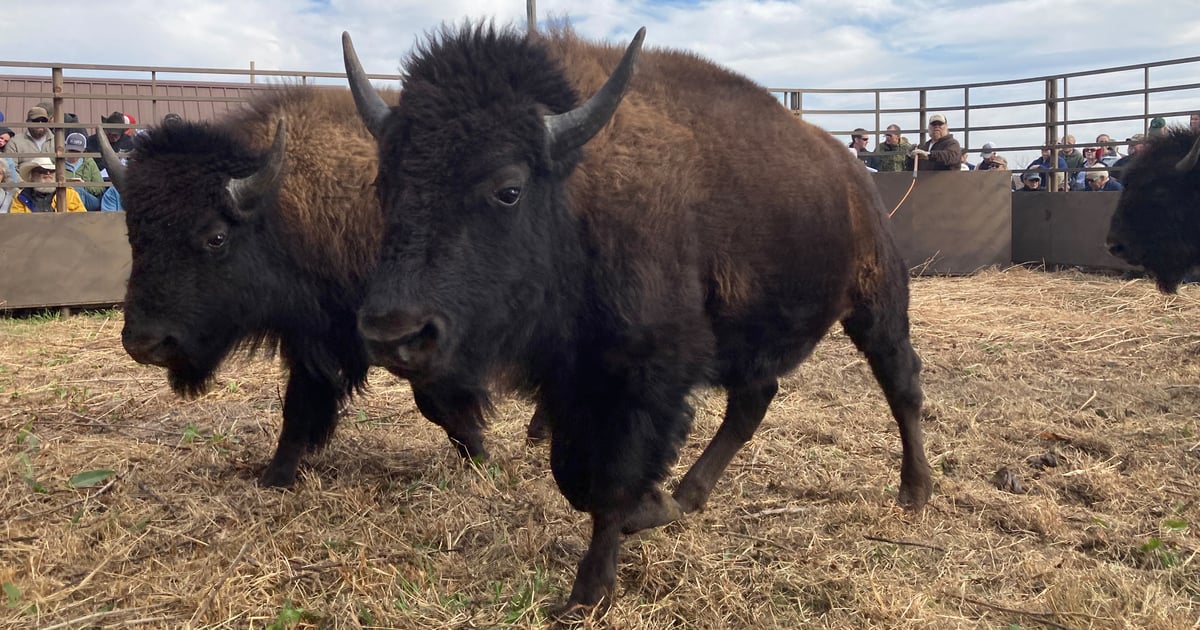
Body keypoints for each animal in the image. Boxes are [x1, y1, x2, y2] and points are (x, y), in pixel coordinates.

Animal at [102, 88, 511, 487]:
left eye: (216, 237)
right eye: (132, 234)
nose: (145, 344)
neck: (284, 209)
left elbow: (439, 402)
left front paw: (480, 459)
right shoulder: (314, 339)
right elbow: (299, 409)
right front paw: (275, 478)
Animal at [344, 24, 932, 611]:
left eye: (508, 189)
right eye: (383, 185)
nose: (393, 333)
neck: (577, 194)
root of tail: (852, 172)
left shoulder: (642, 377)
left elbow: (609, 478)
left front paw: (588, 591)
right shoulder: (572, 381)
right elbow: (572, 473)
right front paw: (651, 509)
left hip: (877, 304)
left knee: (901, 383)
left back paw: (915, 491)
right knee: (753, 402)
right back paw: (687, 496)